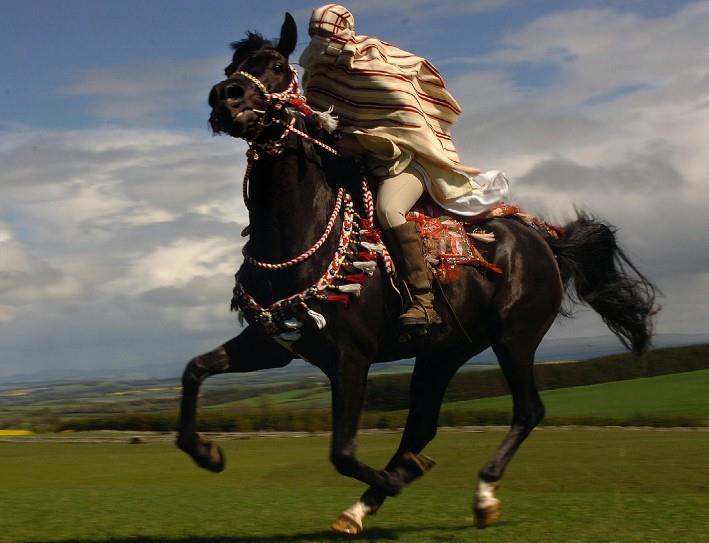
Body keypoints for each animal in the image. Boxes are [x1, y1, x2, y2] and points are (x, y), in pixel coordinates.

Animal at [177, 12, 657, 535]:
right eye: (231, 67)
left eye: (278, 67)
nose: (225, 97)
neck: (300, 231)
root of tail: (543, 239)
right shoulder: (273, 343)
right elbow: (194, 370)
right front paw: (207, 453)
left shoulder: (351, 356)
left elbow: (342, 451)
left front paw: (396, 480)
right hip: (443, 351)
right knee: (422, 425)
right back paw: (371, 501)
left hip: (514, 337)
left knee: (528, 411)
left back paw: (479, 495)